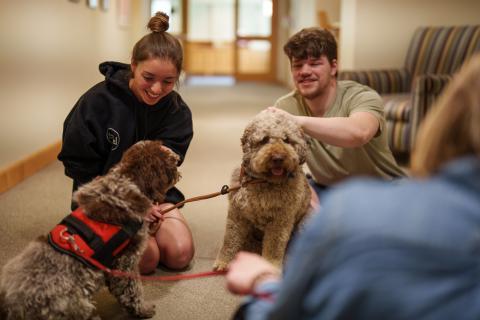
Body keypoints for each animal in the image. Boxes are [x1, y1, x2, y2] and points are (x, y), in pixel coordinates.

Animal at [0, 141, 180, 320]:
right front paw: (142, 309)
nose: (178, 159)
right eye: (170, 160)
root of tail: (13, 305)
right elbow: (132, 290)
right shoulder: (126, 261)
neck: (126, 180)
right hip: (79, 307)